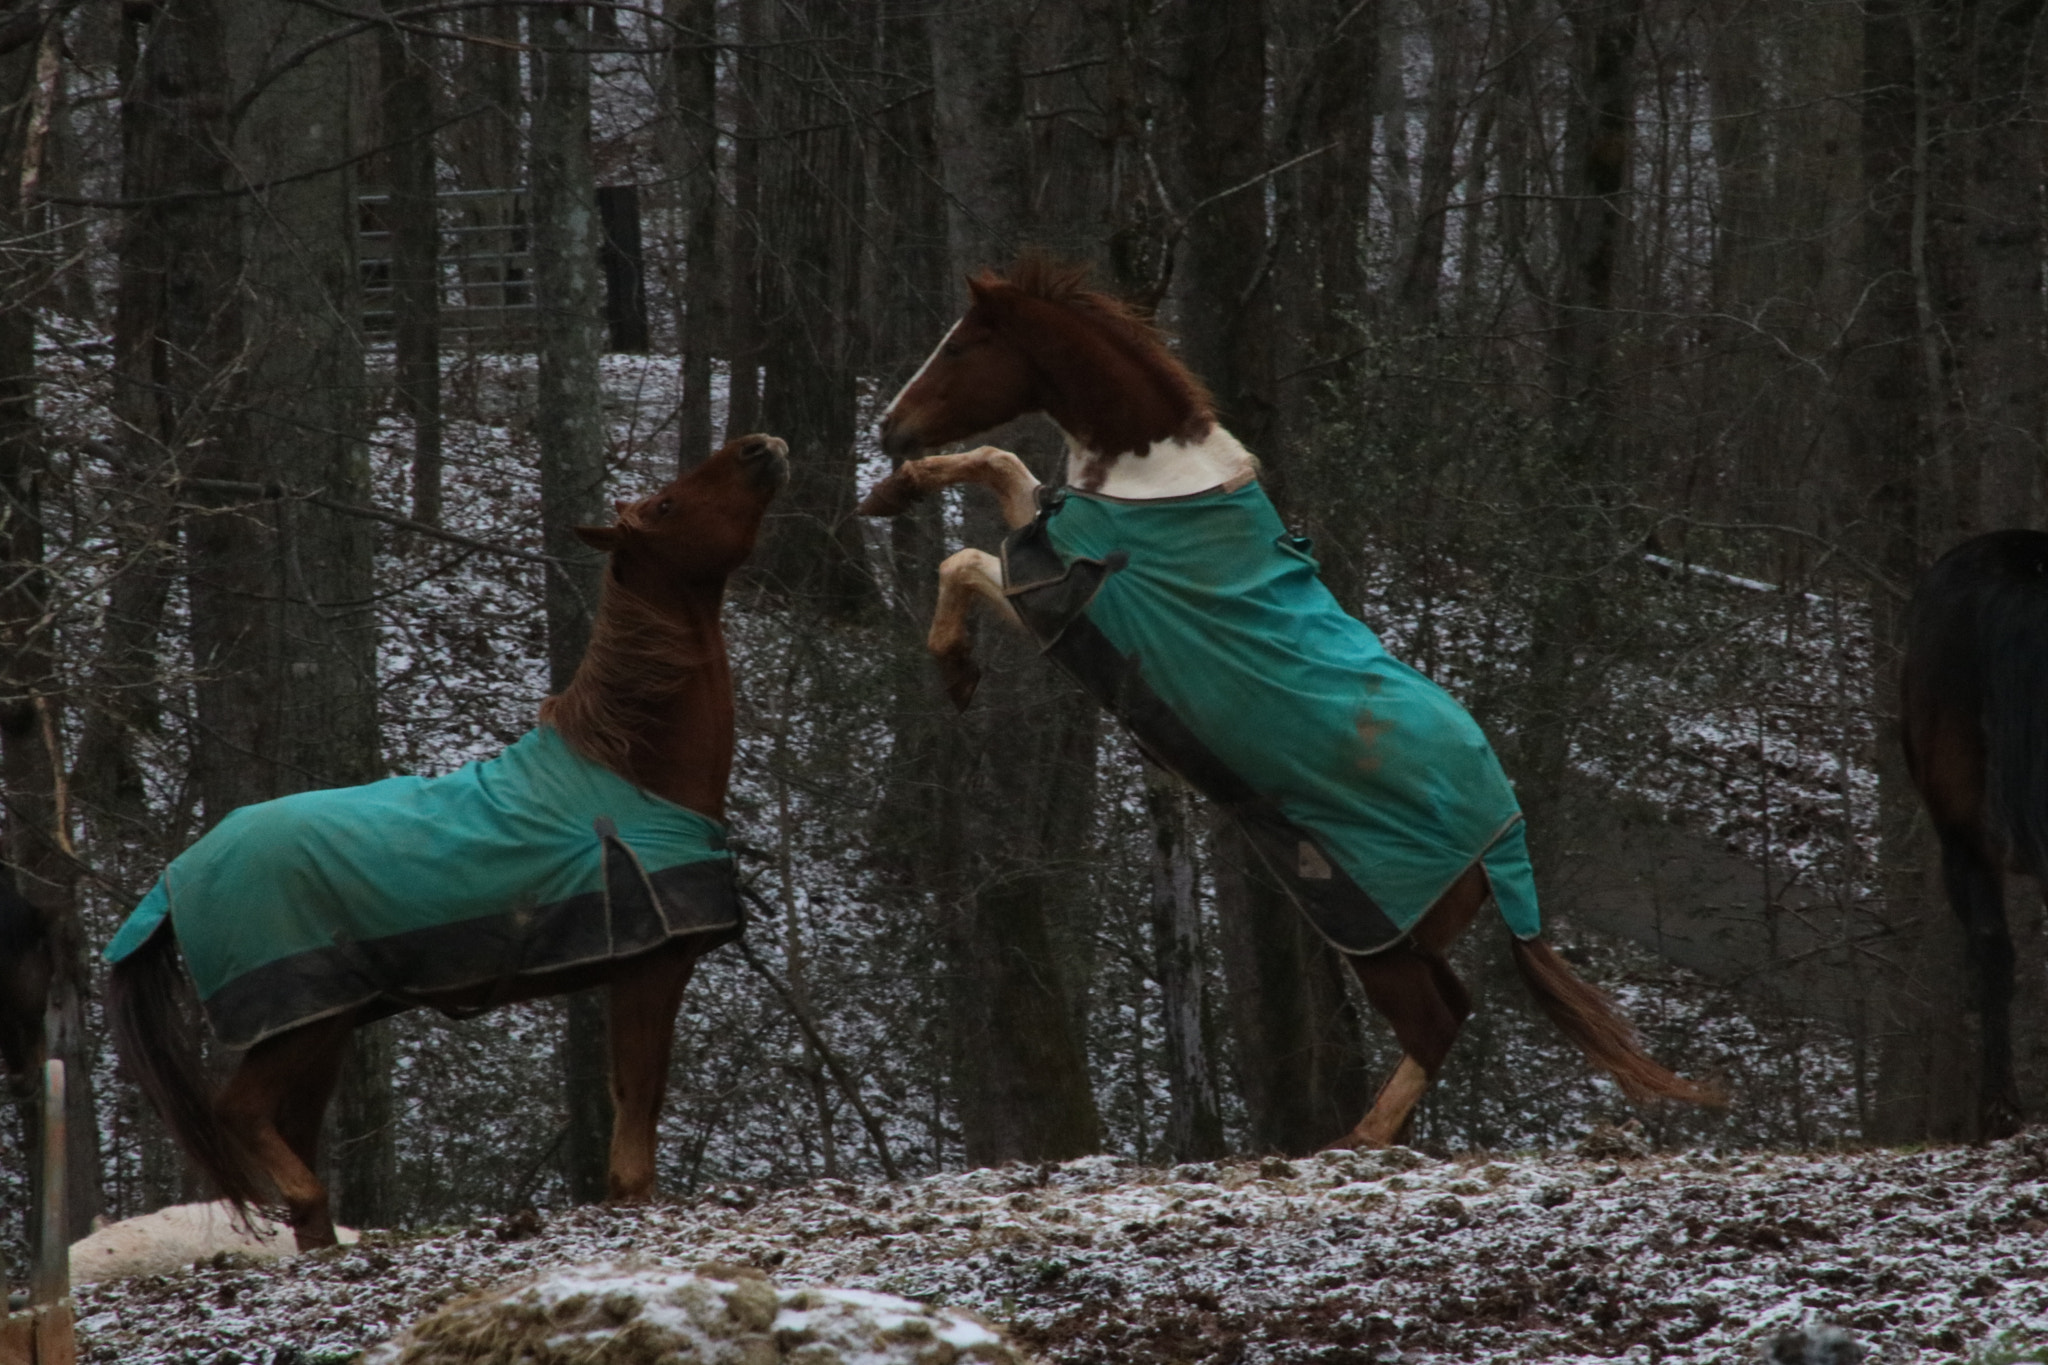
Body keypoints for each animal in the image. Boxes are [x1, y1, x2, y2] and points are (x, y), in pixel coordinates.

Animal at [106, 433, 789, 1248]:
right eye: (664, 504)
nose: (759, 446)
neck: (634, 773)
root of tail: (173, 877)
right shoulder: (650, 968)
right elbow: (636, 1124)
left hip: (321, 1028)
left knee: (286, 1128)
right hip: (297, 1026)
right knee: (238, 1110)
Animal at [860, 258, 1718, 1148]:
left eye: (961, 346)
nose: (888, 428)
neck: (1155, 484)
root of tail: (1502, 844)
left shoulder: (1055, 600)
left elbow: (967, 547)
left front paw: (955, 666)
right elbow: (997, 463)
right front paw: (892, 497)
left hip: (1374, 938)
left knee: (1437, 1023)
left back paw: (1351, 1145)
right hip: (1401, 939)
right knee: (1454, 1007)